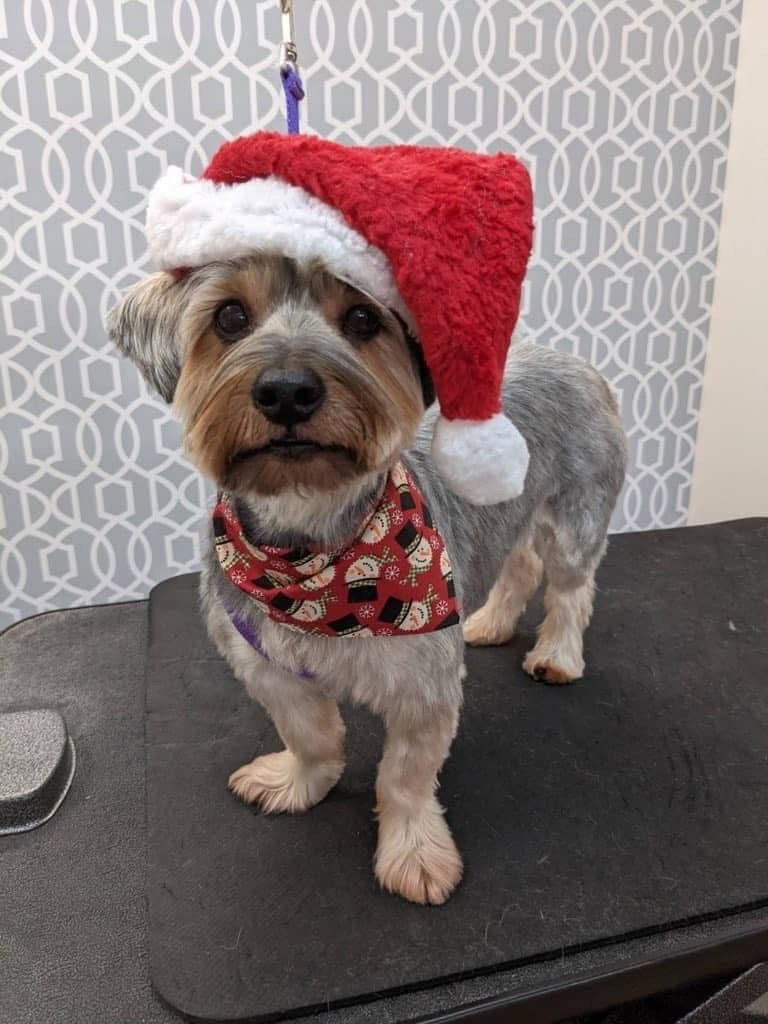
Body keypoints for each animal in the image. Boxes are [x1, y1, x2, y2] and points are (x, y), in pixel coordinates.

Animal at [108, 253, 627, 906]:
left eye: (361, 318)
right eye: (229, 317)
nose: (287, 390)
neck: (311, 560)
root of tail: (579, 362)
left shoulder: (424, 682)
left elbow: (404, 777)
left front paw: (415, 855)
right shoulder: (265, 664)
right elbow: (311, 736)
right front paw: (296, 782)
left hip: (575, 509)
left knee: (570, 587)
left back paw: (556, 654)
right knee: (521, 565)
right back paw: (490, 622)